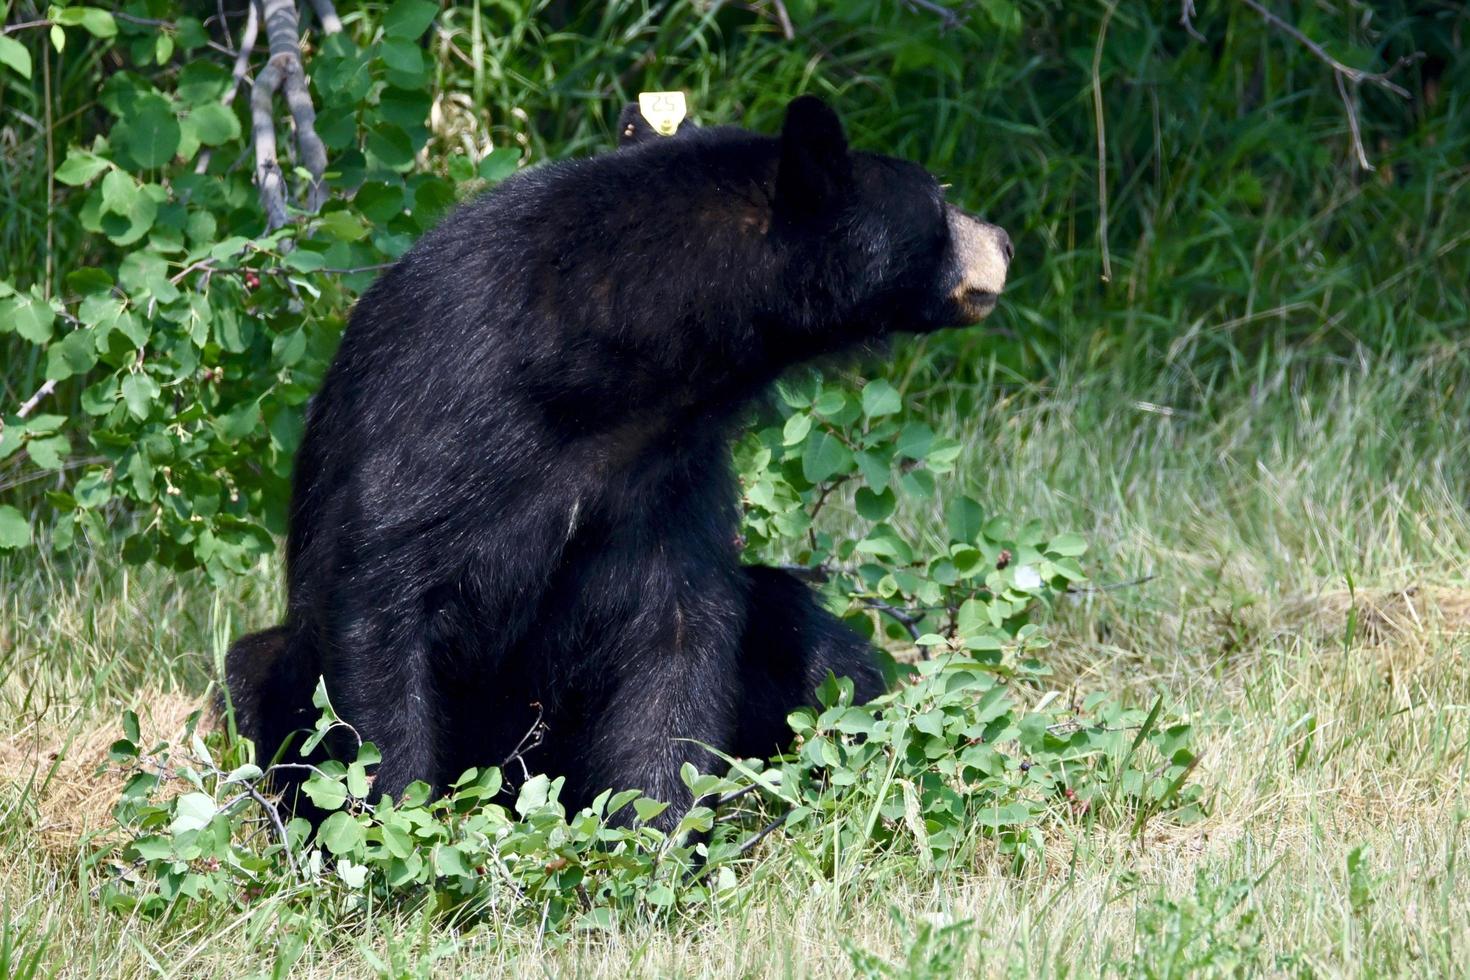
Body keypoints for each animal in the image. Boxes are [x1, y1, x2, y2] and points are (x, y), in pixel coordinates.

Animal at [226, 95, 1011, 828]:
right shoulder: (443, 412)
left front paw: (653, 837)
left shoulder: (665, 472)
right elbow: (380, 602)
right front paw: (392, 826)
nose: (1003, 240)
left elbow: (676, 640)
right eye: (938, 196)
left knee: (814, 641)